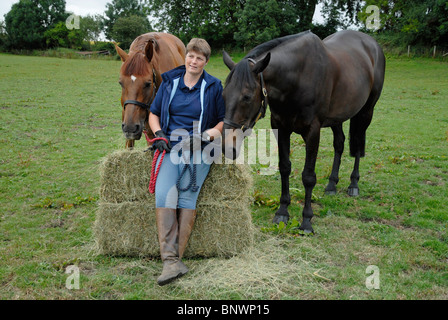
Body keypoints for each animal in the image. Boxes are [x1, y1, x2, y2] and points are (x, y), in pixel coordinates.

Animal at [222, 31, 386, 234]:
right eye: (224, 94)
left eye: (247, 96)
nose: (226, 146)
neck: (297, 78)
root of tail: (373, 44)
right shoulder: (280, 128)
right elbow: (285, 168)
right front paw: (282, 211)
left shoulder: (313, 132)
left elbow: (308, 177)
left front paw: (307, 220)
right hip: (337, 117)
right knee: (339, 144)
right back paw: (332, 184)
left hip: (366, 112)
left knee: (357, 144)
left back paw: (353, 184)